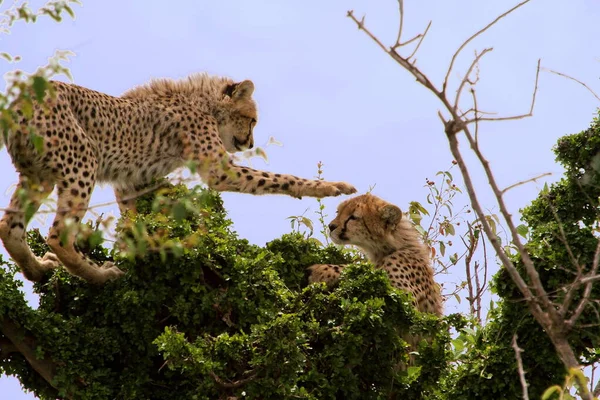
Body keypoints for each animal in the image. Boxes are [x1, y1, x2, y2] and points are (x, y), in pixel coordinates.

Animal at [0, 72, 356, 284]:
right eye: (252, 120)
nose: (250, 143)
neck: (204, 101)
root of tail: (19, 99)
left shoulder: (130, 184)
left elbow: (137, 217)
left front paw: (144, 247)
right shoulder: (218, 169)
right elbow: (277, 177)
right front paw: (329, 186)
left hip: (37, 175)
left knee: (9, 227)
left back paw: (37, 269)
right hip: (81, 162)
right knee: (59, 235)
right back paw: (101, 275)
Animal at [310, 194, 440, 316]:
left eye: (353, 217)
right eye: (338, 212)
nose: (331, 226)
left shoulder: (404, 300)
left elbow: (364, 271)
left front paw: (322, 269)